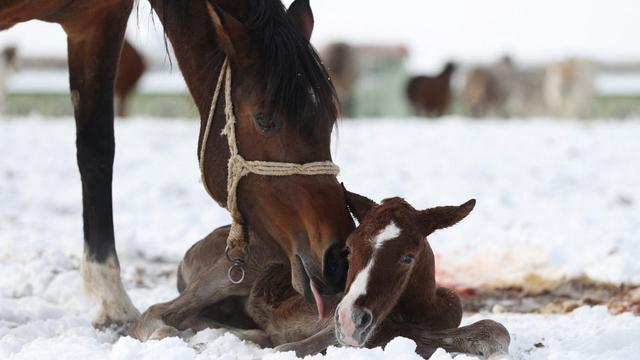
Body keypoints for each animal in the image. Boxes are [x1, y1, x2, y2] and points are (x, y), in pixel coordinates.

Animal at [0, 0, 352, 330]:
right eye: (264, 120)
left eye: (329, 119)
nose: (337, 256)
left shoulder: (97, 21)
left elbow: (96, 151)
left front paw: (111, 300)